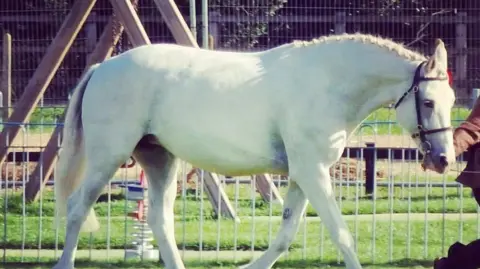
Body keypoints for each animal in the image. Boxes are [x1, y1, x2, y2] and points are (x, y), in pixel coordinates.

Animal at [51, 34, 454, 268]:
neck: (327, 82)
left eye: (451, 100)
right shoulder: (312, 172)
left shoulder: (303, 175)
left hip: (159, 158)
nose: (444, 160)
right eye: (429, 102)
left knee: (159, 220)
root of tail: (103, 67)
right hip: (108, 155)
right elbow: (342, 235)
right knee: (76, 208)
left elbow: (286, 234)